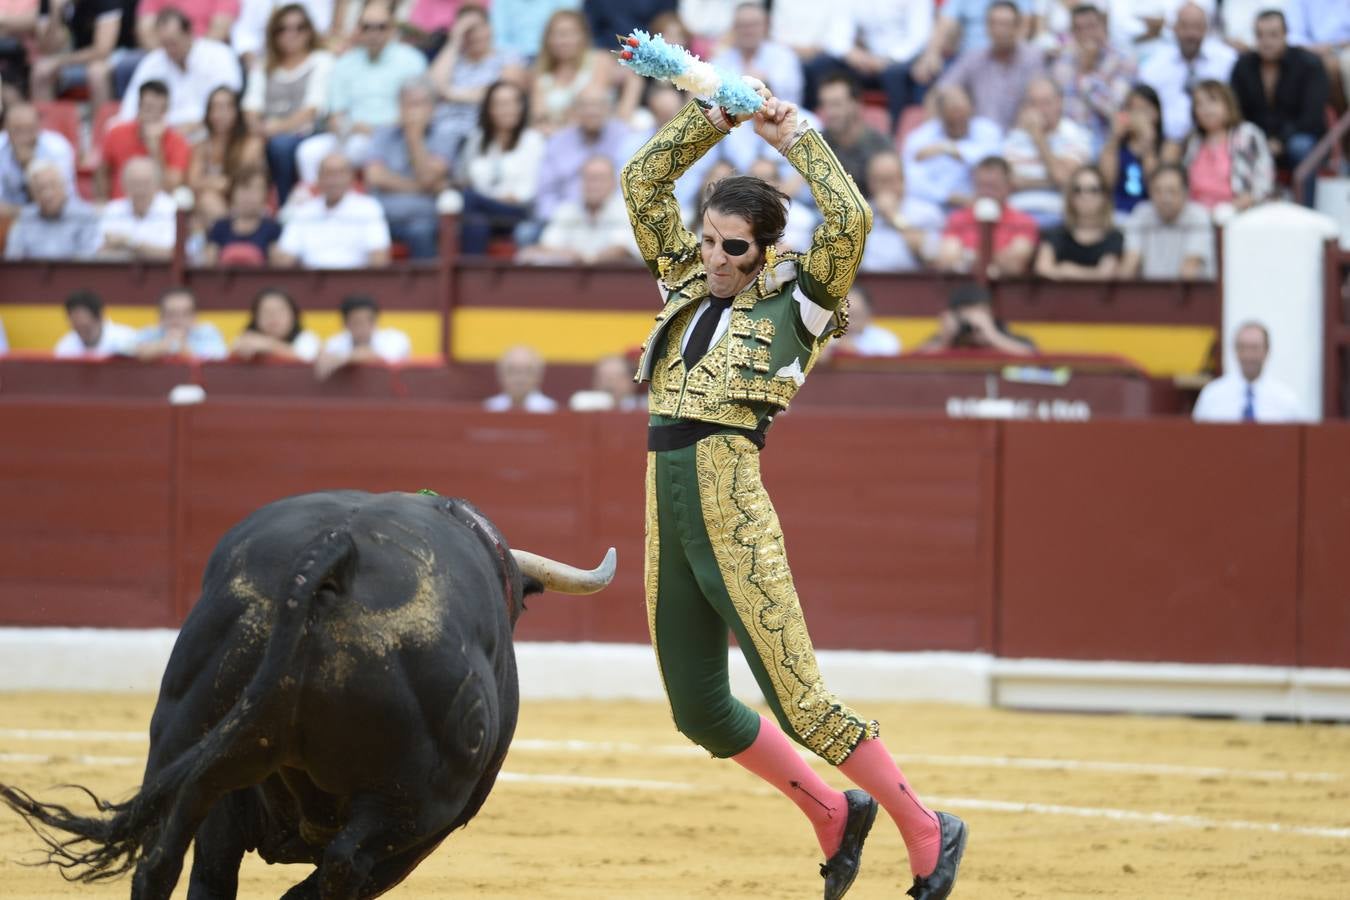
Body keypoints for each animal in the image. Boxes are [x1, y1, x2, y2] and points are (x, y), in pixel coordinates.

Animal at [2, 493, 615, 900]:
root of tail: (337, 552)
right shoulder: (428, 831)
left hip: (187, 741)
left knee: (166, 861)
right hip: (411, 803)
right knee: (337, 869)